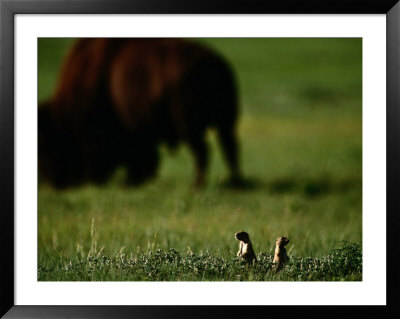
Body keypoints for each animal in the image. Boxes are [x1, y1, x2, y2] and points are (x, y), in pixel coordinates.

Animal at [38, 38, 244, 189]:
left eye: (47, 147)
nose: (49, 182)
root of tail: (216, 63)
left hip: (189, 126)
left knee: (203, 151)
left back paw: (197, 185)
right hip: (225, 123)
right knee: (229, 147)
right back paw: (234, 182)